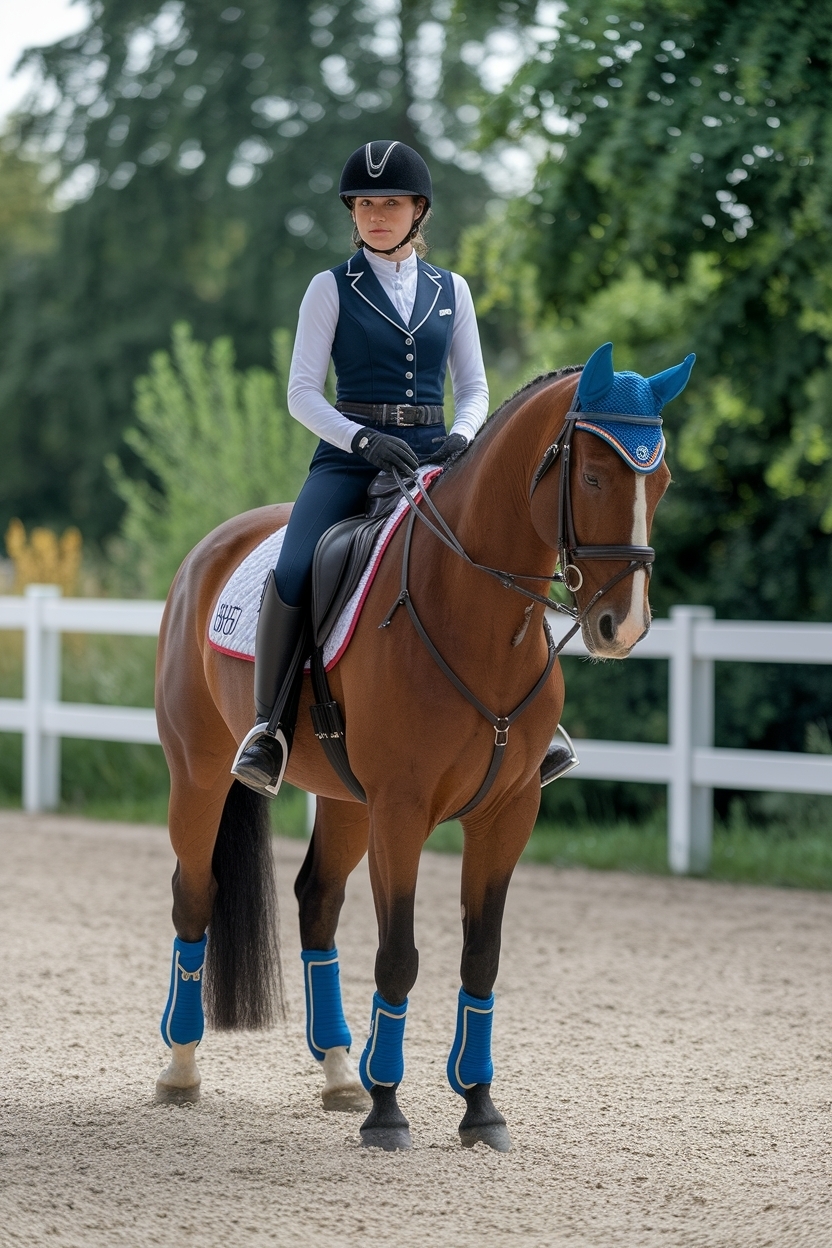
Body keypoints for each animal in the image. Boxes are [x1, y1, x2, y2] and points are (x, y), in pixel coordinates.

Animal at [153, 341, 692, 1151]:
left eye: (659, 481)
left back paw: (338, 1071)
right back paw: (183, 1069)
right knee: (194, 896)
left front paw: (479, 1107)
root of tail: (210, 549)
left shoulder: (507, 814)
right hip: (200, 771)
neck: (476, 617)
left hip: (347, 801)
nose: (620, 627)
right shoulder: (402, 812)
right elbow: (399, 956)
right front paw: (388, 1110)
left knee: (317, 901)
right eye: (595, 476)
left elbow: (481, 958)